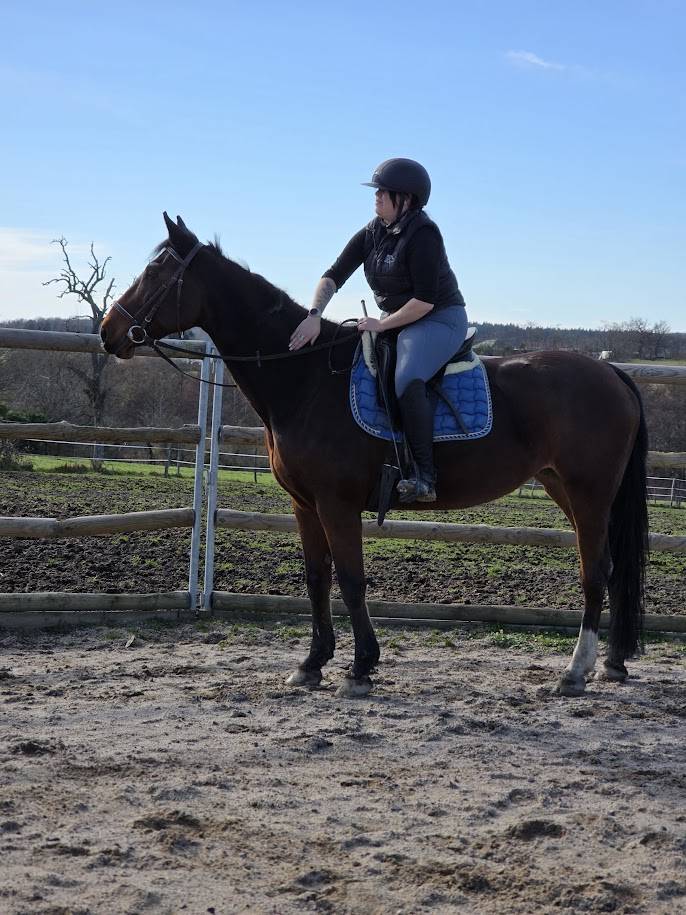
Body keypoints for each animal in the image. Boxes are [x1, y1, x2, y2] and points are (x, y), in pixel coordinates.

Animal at [100, 213, 649, 699]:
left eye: (155, 273)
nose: (108, 331)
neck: (305, 378)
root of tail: (611, 373)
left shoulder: (337, 504)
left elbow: (351, 580)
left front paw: (360, 668)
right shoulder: (305, 505)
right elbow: (317, 579)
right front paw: (312, 664)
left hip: (589, 493)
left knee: (595, 572)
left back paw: (574, 672)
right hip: (565, 488)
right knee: (609, 570)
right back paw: (608, 665)